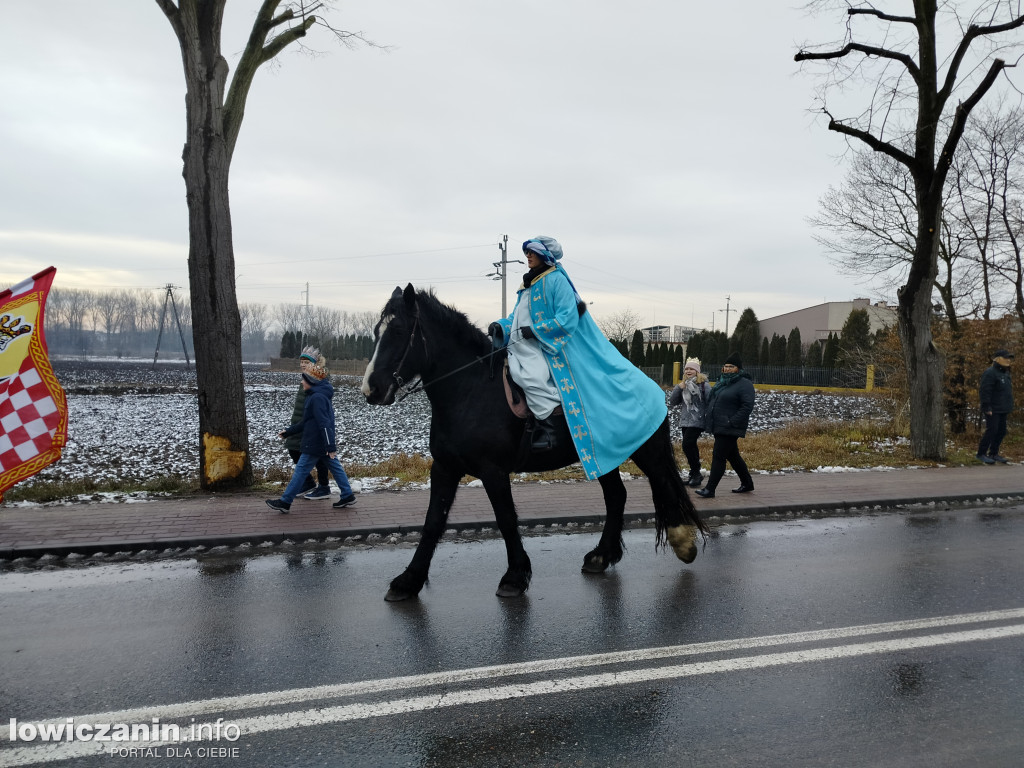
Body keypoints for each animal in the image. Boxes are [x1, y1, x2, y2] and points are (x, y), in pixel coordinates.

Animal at [364, 286, 708, 606]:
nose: (371, 389)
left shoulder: (493, 471)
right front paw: (408, 581)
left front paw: (515, 576)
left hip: (646, 451)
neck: (471, 390)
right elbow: (433, 521)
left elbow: (505, 519)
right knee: (617, 496)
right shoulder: (445, 468)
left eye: (398, 331)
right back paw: (601, 555)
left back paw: (683, 543)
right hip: (603, 456)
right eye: (376, 332)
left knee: (663, 484)